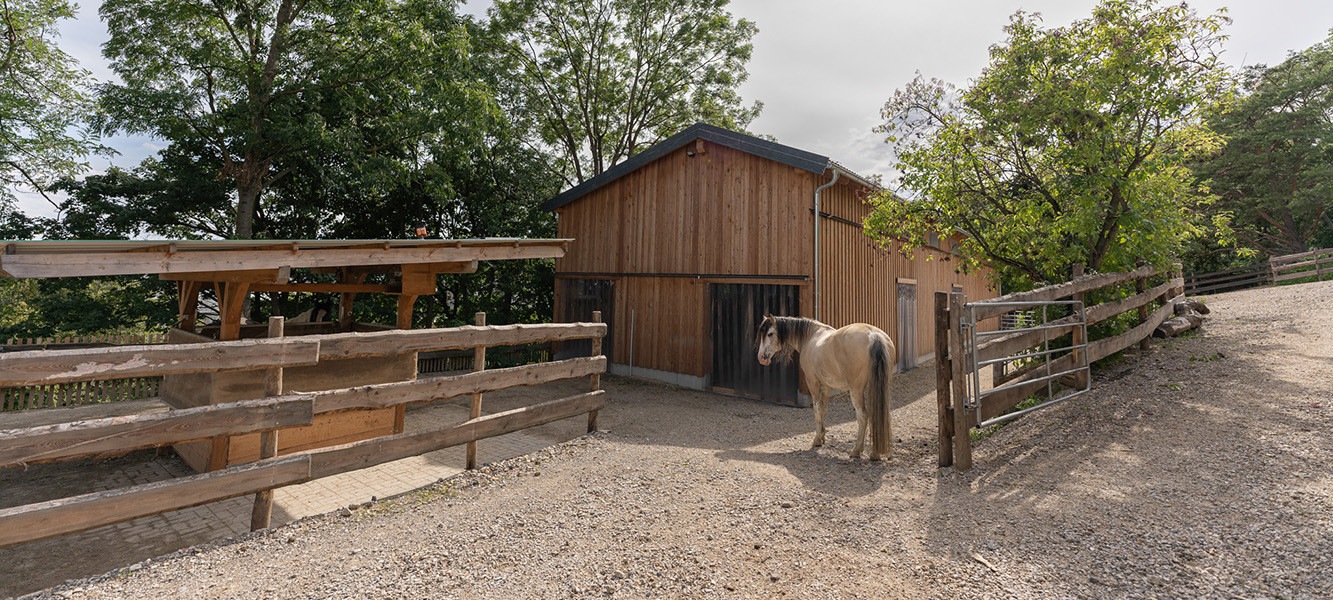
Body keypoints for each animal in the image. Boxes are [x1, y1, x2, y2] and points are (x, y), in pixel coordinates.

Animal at [757, 314, 901, 458]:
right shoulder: (826, 386)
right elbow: (824, 409)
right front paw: (822, 437)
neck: (810, 336)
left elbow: (817, 409)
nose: (761, 357)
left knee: (863, 415)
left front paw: (817, 440)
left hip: (856, 390)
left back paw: (856, 450)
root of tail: (873, 335)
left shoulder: (812, 382)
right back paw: (875, 454)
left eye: (770, 334)